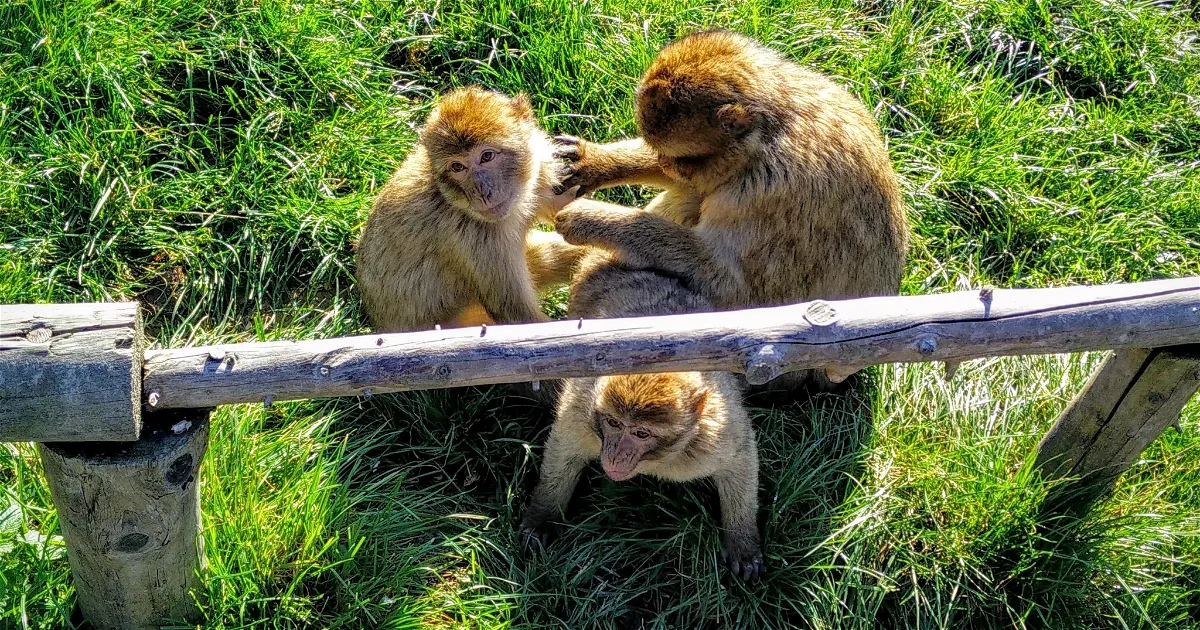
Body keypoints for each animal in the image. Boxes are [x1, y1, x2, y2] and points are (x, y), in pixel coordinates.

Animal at [355, 86, 586, 334]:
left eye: (487, 156)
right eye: (458, 167)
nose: (482, 192)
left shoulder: (540, 170)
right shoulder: (475, 238)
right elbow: (517, 315)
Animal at [519, 250, 764, 581]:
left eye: (641, 433)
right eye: (614, 423)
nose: (615, 456)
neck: (657, 461)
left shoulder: (714, 438)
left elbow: (741, 458)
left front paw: (743, 540)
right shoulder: (581, 411)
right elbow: (564, 451)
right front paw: (542, 515)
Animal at [552, 30, 910, 394]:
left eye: (683, 158)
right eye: (666, 155)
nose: (667, 164)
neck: (768, 134)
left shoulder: (766, 193)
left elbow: (733, 288)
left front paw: (590, 219)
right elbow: (694, 188)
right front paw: (595, 163)